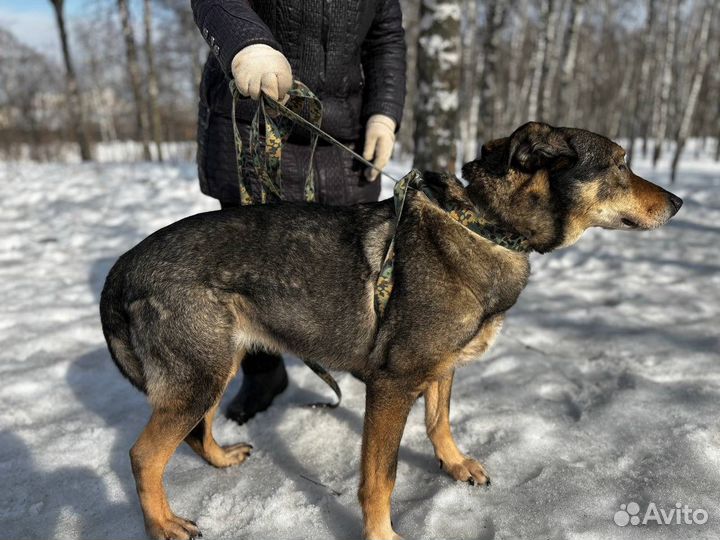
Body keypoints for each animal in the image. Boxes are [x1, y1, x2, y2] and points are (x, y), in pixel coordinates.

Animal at [100, 122, 680, 540]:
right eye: (621, 163)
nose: (679, 203)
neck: (486, 227)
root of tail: (125, 264)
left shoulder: (440, 369)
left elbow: (440, 422)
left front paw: (455, 466)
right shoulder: (391, 385)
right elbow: (381, 478)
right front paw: (383, 536)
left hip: (216, 365)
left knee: (195, 433)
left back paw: (221, 459)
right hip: (201, 373)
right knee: (144, 456)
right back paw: (164, 525)